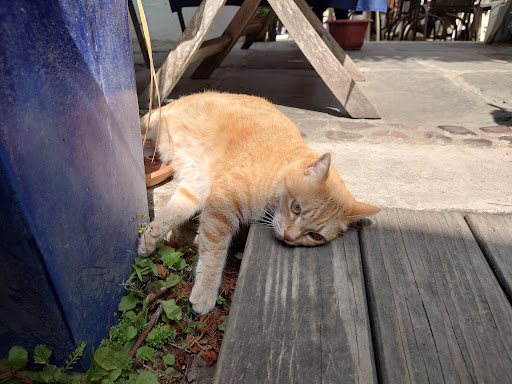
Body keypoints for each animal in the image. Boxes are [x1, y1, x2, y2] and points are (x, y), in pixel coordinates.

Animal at [139, 91, 380, 314]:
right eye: (296, 207)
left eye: (315, 236)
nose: (289, 237)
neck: (274, 169)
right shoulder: (219, 212)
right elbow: (214, 253)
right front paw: (206, 290)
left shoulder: (195, 189)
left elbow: (170, 215)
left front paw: (149, 238)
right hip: (151, 124)